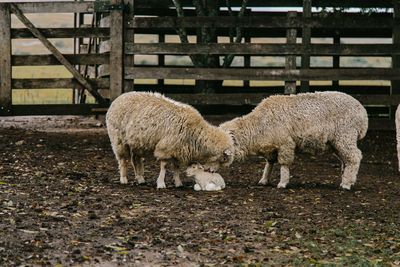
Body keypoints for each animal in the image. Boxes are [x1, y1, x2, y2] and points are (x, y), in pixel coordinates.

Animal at [105, 92, 234, 191]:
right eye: (223, 159)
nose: (212, 172)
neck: (195, 133)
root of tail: (119, 97)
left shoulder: (177, 150)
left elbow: (176, 168)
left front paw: (178, 183)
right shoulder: (165, 149)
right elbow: (164, 167)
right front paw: (161, 184)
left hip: (137, 142)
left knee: (135, 159)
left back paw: (140, 179)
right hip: (118, 139)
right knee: (123, 160)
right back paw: (123, 179)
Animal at [219, 92, 368, 191]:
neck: (259, 125)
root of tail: (362, 112)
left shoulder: (285, 143)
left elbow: (284, 164)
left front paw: (283, 183)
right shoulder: (272, 147)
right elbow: (269, 163)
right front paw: (264, 180)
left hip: (345, 135)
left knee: (354, 157)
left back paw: (347, 184)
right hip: (337, 141)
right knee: (345, 160)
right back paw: (345, 179)